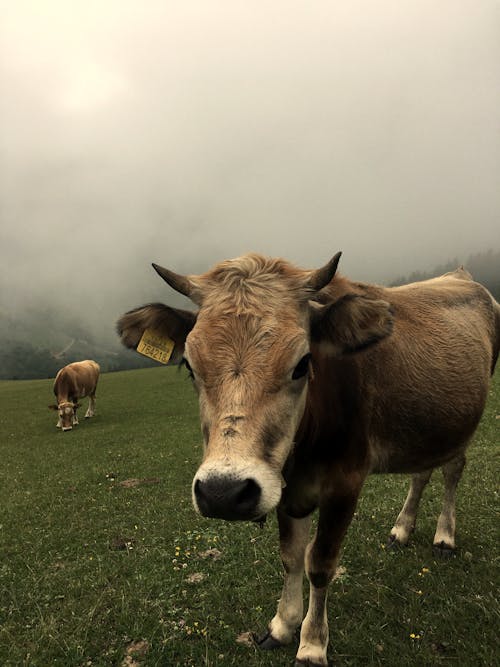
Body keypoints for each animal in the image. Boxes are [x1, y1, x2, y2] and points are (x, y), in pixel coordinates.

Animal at [115, 253, 498, 664]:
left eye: (302, 364)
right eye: (190, 365)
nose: (223, 493)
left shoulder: (345, 482)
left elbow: (320, 563)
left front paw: (312, 644)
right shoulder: (282, 482)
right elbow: (291, 556)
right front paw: (282, 625)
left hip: (462, 425)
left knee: (453, 470)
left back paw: (445, 536)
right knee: (421, 474)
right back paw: (402, 528)